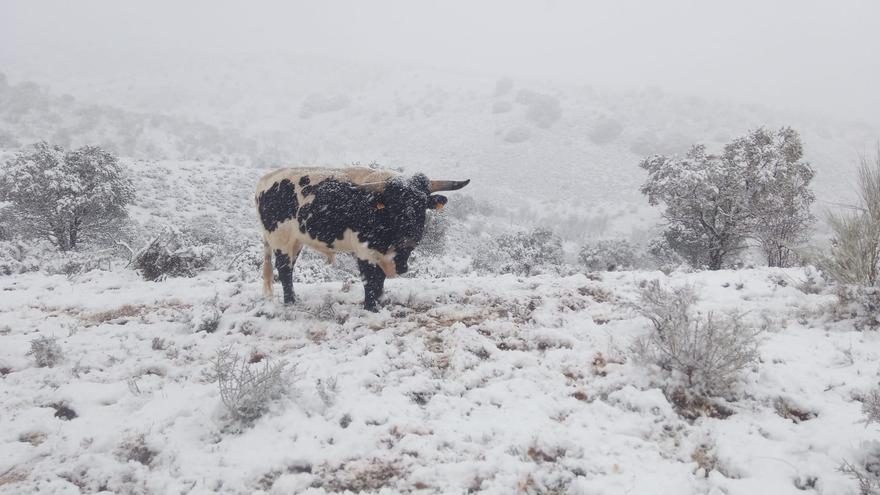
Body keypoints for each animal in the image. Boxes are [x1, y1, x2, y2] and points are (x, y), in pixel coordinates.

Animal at [254, 167, 470, 310]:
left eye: (422, 204)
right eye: (394, 205)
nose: (410, 236)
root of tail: (266, 180)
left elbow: (380, 279)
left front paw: (380, 301)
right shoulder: (364, 250)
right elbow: (369, 279)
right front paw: (370, 307)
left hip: (296, 242)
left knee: (289, 267)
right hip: (280, 239)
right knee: (284, 269)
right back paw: (290, 302)